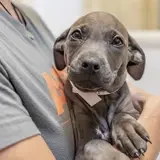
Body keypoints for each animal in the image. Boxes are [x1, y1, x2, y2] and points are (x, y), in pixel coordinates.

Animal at [53, 11, 151, 159]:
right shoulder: (82, 145)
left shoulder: (134, 112)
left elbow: (122, 115)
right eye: (76, 35)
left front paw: (128, 131)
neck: (100, 96)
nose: (90, 64)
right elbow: (94, 144)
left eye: (117, 41)